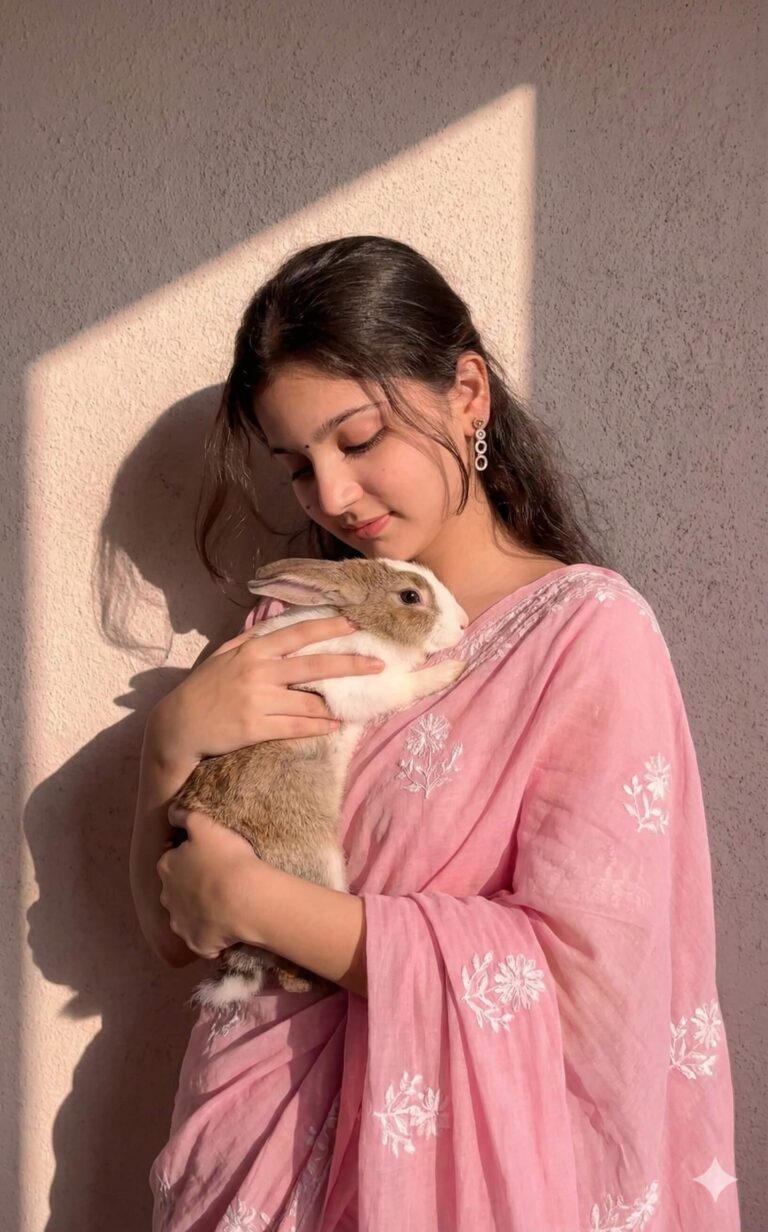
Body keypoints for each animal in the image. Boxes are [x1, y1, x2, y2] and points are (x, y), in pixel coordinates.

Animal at [172, 555, 470, 1011]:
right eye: (409, 596)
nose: (464, 624)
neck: (358, 622)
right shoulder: (362, 685)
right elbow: (403, 686)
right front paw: (452, 670)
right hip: (318, 866)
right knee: (289, 971)